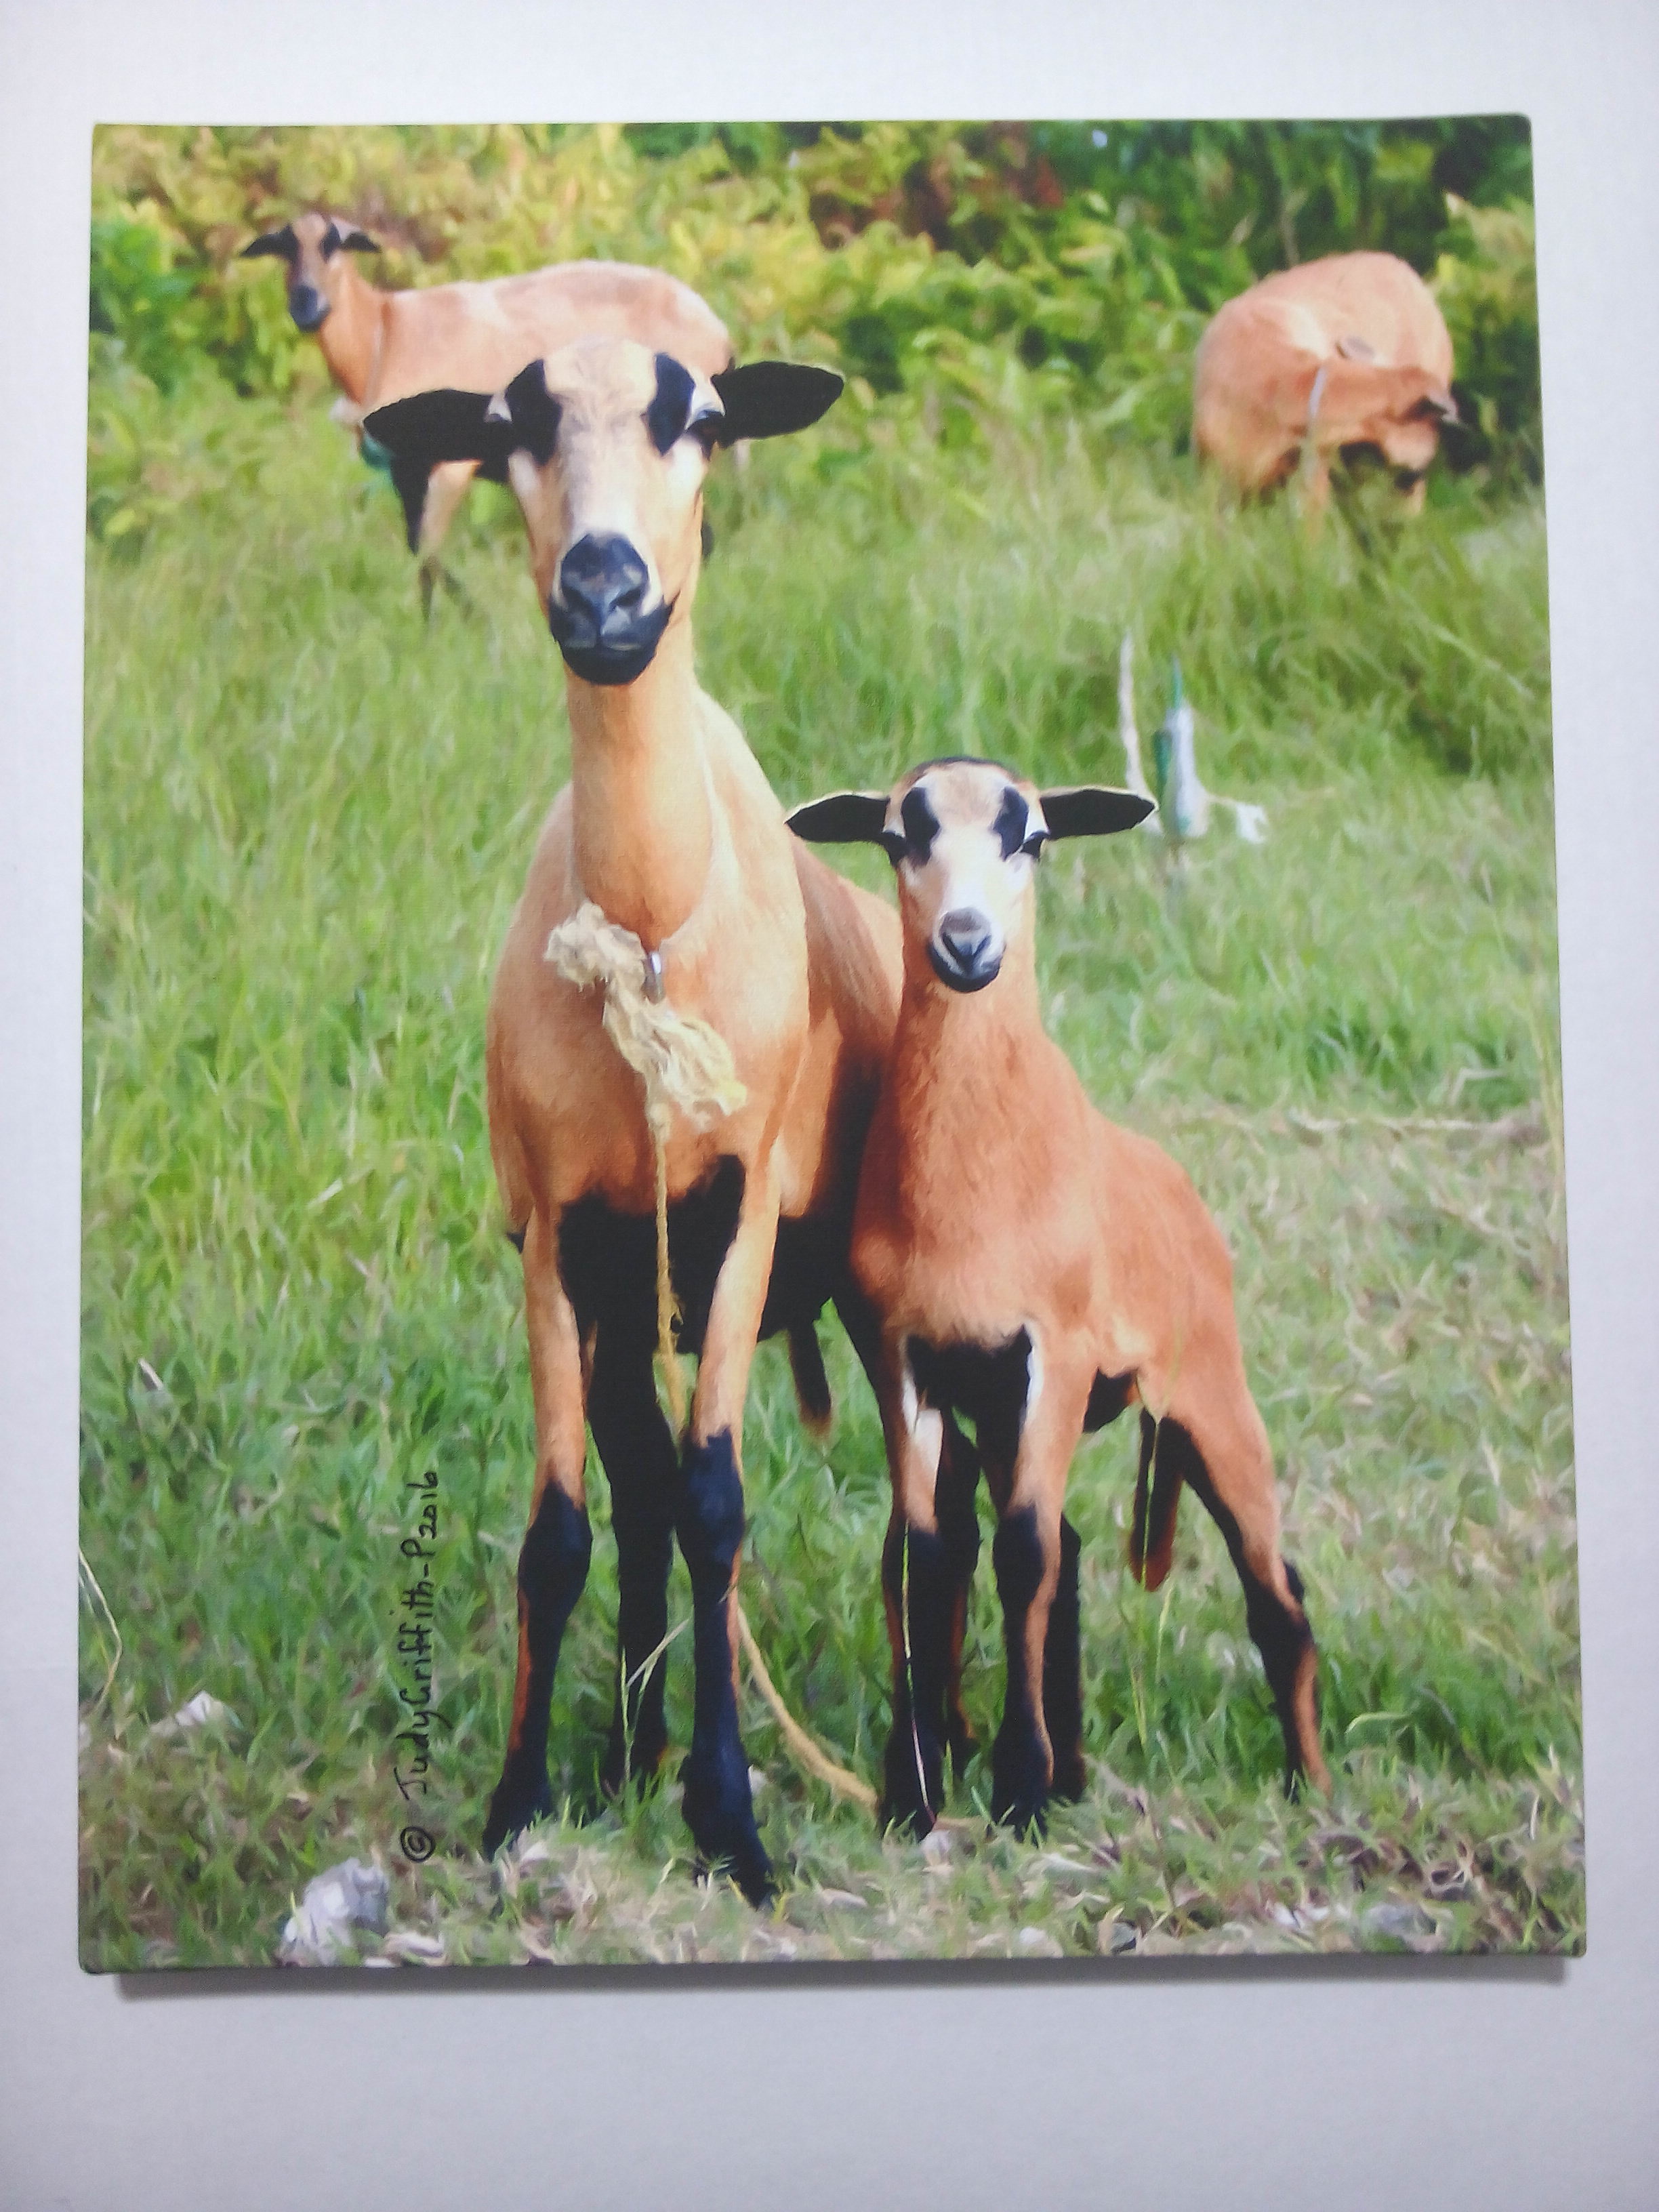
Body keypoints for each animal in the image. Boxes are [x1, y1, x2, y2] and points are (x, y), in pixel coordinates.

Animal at [239, 213, 732, 603]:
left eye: (333, 246)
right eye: (283, 249)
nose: (305, 306)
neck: (382, 337)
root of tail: (718, 331)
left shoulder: (449, 467)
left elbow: (428, 553)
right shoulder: (404, 469)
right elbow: (419, 552)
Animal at [362, 336, 916, 1903]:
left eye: (705, 420)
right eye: (510, 428)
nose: (605, 592)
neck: (653, 933)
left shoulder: (734, 1220)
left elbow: (722, 1501)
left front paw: (733, 1822)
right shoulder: (560, 1236)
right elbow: (565, 1527)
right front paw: (520, 1803)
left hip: (865, 1284)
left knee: (918, 1508)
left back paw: (911, 1776)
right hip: (624, 1294)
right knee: (640, 1484)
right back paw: (630, 1745)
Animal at [789, 757, 1331, 1836]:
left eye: (1031, 837)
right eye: (898, 836)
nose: (966, 944)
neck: (977, 1189)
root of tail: (1175, 1187)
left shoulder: (1058, 1353)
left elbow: (1024, 1553)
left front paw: (1021, 1789)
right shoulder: (907, 1359)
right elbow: (927, 1556)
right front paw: (916, 1792)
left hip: (1212, 1399)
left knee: (1273, 1589)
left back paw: (1311, 1789)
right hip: (1006, 1413)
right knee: (1069, 1552)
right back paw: (1082, 1768)